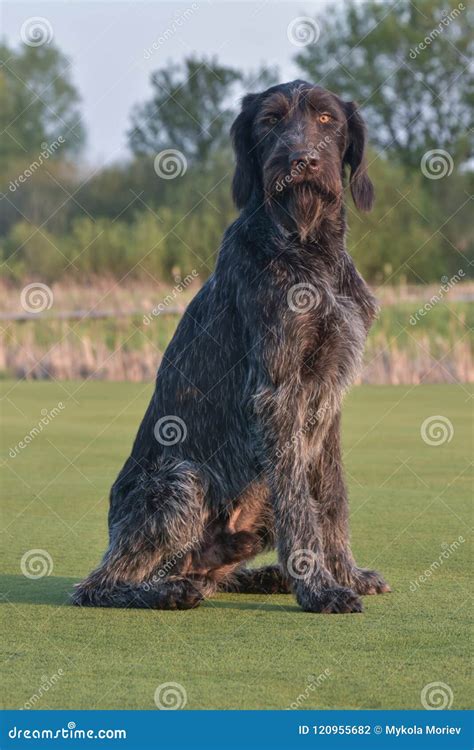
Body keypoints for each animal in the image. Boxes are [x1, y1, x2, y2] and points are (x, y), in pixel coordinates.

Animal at [73, 79, 388, 612]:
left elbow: (331, 500)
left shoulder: (330, 394)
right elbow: (301, 508)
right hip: (182, 480)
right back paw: (169, 591)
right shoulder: (277, 393)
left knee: (214, 573)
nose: (300, 160)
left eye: (326, 119)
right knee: (97, 585)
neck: (310, 247)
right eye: (270, 121)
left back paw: (262, 576)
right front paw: (320, 588)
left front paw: (346, 573)